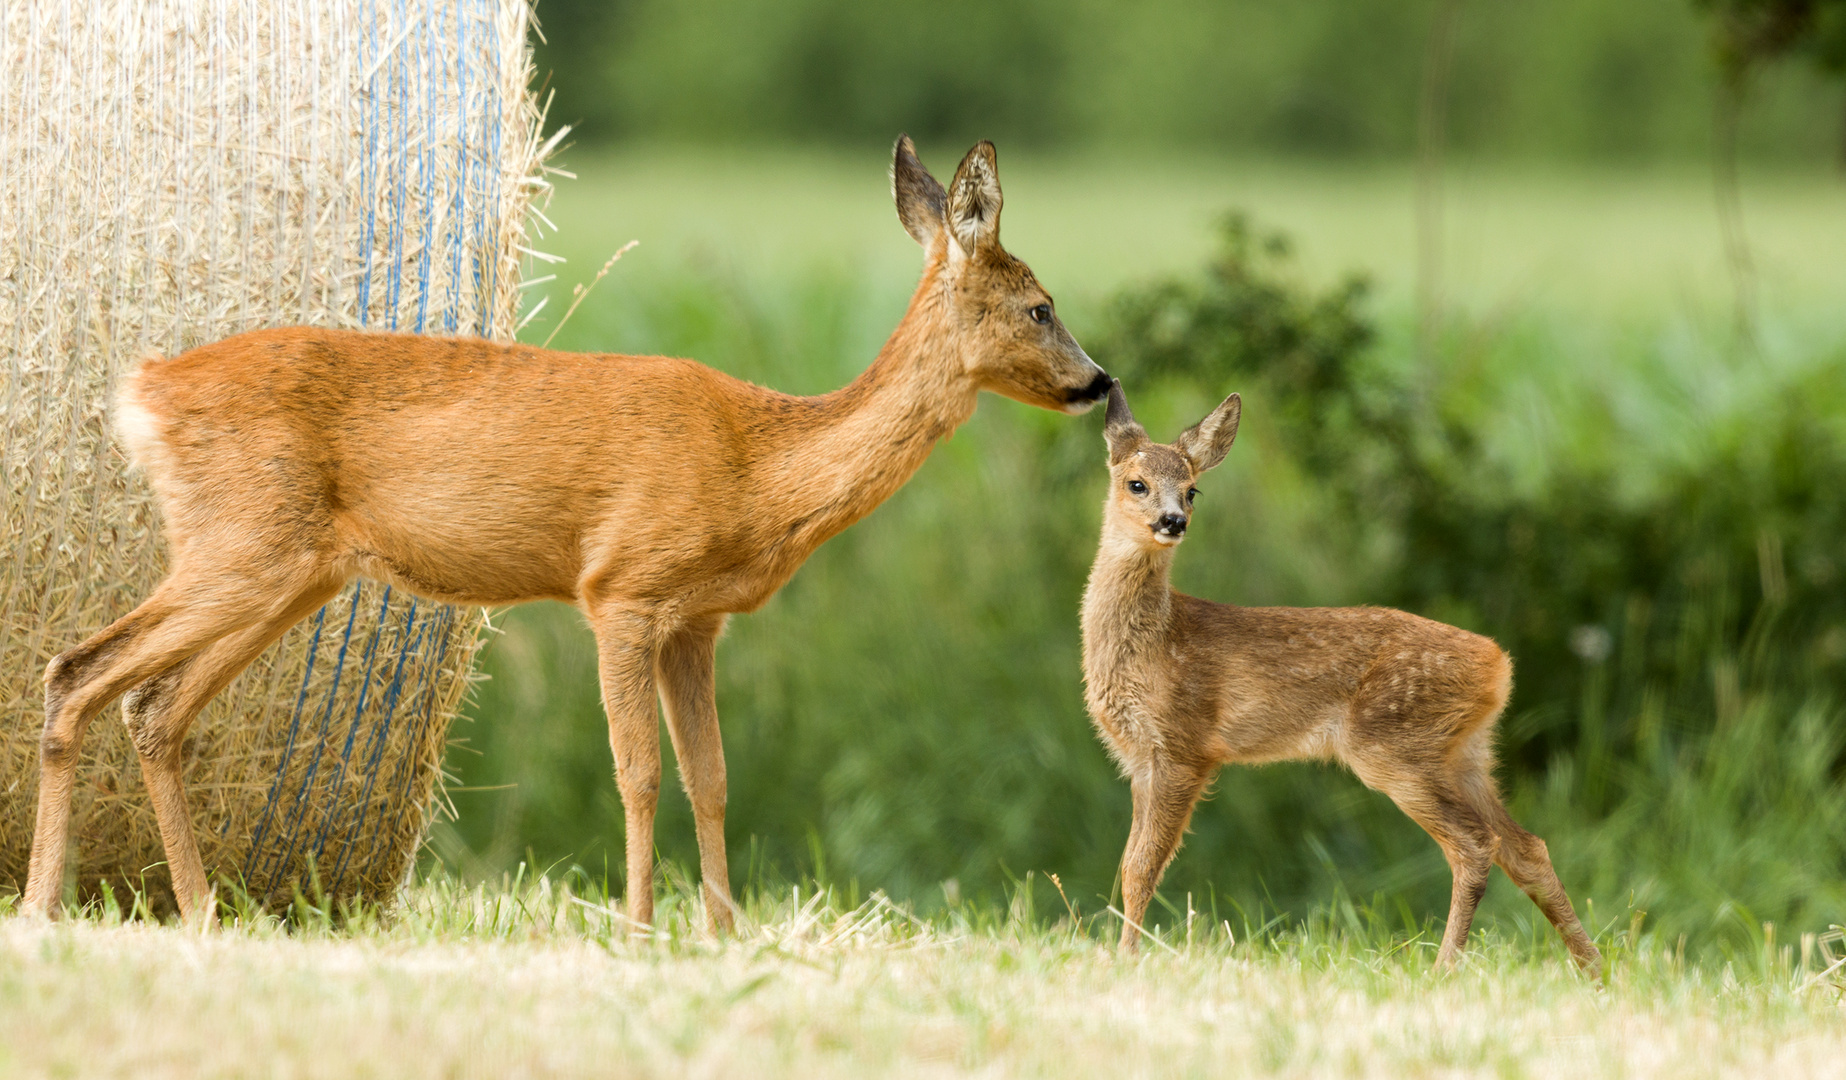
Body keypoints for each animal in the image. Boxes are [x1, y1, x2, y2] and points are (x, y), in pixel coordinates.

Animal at [25, 134, 1107, 926]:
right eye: (1039, 306)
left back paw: (201, 912)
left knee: (155, 706)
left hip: (292, 572)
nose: (1099, 382)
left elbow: (713, 778)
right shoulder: (621, 587)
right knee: (79, 668)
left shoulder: (697, 622)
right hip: (242, 544)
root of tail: (145, 389)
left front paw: (725, 932)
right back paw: (43, 905)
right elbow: (640, 774)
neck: (759, 465)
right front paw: (638, 928)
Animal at [1078, 384, 1602, 974]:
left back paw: (1445, 967)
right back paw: (1595, 968)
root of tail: (1499, 664)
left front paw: (1124, 959)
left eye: (1192, 491)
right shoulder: (1139, 760)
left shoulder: (1183, 746)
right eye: (1136, 483)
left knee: (1474, 844)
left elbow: (1142, 867)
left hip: (1392, 745)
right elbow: (1128, 864)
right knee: (1526, 846)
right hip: (1465, 754)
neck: (1155, 643)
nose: (1172, 520)